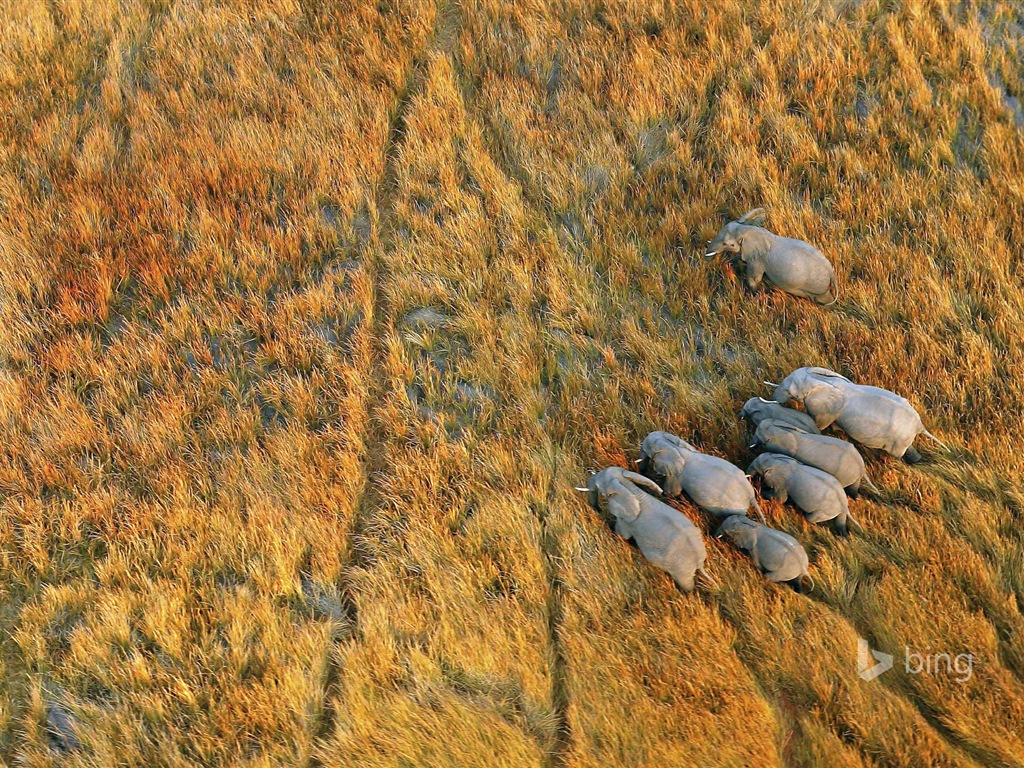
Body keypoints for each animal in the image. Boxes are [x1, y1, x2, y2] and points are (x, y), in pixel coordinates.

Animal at [577, 466, 712, 593]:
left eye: (599, 488)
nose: (597, 510)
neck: (629, 487)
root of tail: (699, 561)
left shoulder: (626, 522)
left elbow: (621, 533)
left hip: (681, 570)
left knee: (686, 584)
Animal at [634, 430, 765, 528]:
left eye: (648, 448)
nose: (643, 472)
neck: (673, 446)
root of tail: (751, 495)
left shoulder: (677, 475)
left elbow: (671, 493)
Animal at [704, 211, 839, 309]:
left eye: (728, 244)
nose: (707, 261)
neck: (749, 229)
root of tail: (831, 273)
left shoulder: (758, 260)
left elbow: (754, 278)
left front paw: (755, 296)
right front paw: (729, 266)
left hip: (817, 286)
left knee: (824, 299)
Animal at [770, 366, 946, 462]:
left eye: (792, 393)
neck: (820, 380)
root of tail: (919, 426)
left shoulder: (824, 410)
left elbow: (820, 424)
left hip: (898, 441)